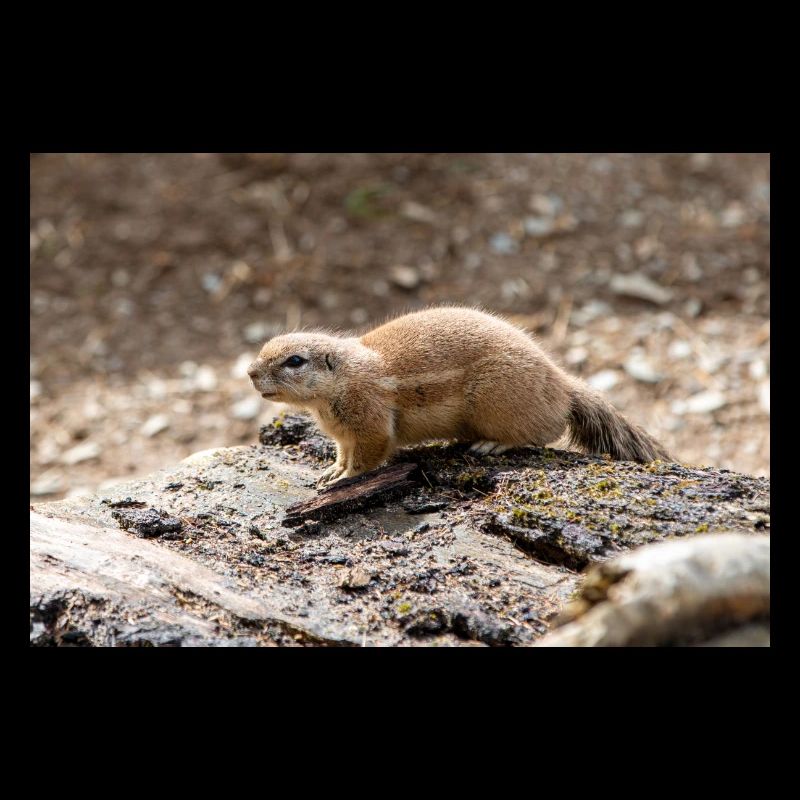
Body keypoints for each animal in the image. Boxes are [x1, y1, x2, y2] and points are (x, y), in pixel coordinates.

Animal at [248, 306, 671, 485]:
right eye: (264, 347)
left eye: (295, 361)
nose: (250, 373)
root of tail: (563, 384)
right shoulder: (345, 436)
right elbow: (342, 452)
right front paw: (331, 470)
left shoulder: (371, 425)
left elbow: (368, 458)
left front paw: (342, 480)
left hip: (499, 403)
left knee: (542, 434)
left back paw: (491, 445)